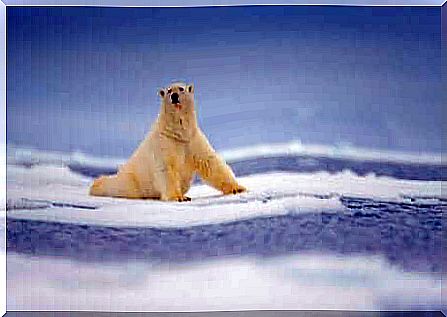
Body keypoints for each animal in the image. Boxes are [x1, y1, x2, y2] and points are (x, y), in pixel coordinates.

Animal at [89, 81, 247, 200]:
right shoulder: (164, 143)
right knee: (117, 186)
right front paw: (178, 197)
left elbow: (210, 163)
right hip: (132, 180)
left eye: (181, 88)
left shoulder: (192, 140)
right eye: (169, 90)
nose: (174, 96)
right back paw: (96, 185)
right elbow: (167, 168)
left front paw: (238, 188)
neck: (177, 133)